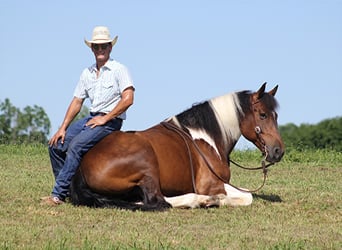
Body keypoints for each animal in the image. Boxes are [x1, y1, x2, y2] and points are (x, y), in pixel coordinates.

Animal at [69, 83, 284, 210]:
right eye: (262, 114)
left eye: (276, 115)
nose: (278, 151)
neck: (208, 136)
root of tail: (82, 166)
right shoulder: (211, 184)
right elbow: (247, 197)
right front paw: (217, 199)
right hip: (147, 164)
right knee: (157, 201)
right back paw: (200, 201)